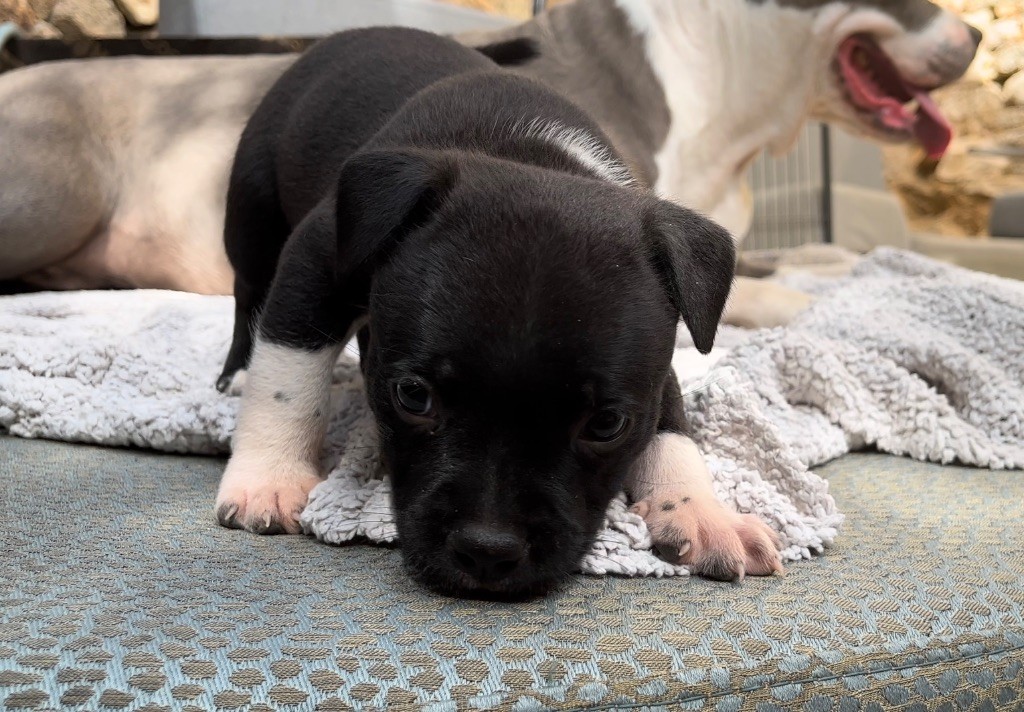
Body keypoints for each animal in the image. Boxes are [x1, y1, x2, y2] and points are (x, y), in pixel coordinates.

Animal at [214, 26, 783, 597]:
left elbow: (670, 419)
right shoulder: (314, 261)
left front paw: (697, 508)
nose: (487, 552)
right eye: (413, 397)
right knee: (250, 303)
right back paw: (237, 376)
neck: (528, 155)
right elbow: (289, 372)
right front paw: (271, 475)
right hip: (253, 215)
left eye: (606, 425)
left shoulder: (657, 344)